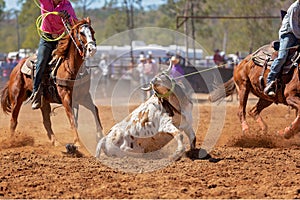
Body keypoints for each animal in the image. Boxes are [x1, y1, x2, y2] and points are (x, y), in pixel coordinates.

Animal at [0, 18, 103, 146]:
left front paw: (100, 136)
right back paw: (12, 141)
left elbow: (95, 110)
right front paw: (78, 142)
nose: (92, 49)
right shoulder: (66, 98)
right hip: (16, 98)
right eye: (81, 33)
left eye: (92, 32)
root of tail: (16, 67)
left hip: (43, 102)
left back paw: (56, 142)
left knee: (46, 121)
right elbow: (72, 118)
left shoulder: (84, 96)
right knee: (13, 120)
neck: (71, 68)